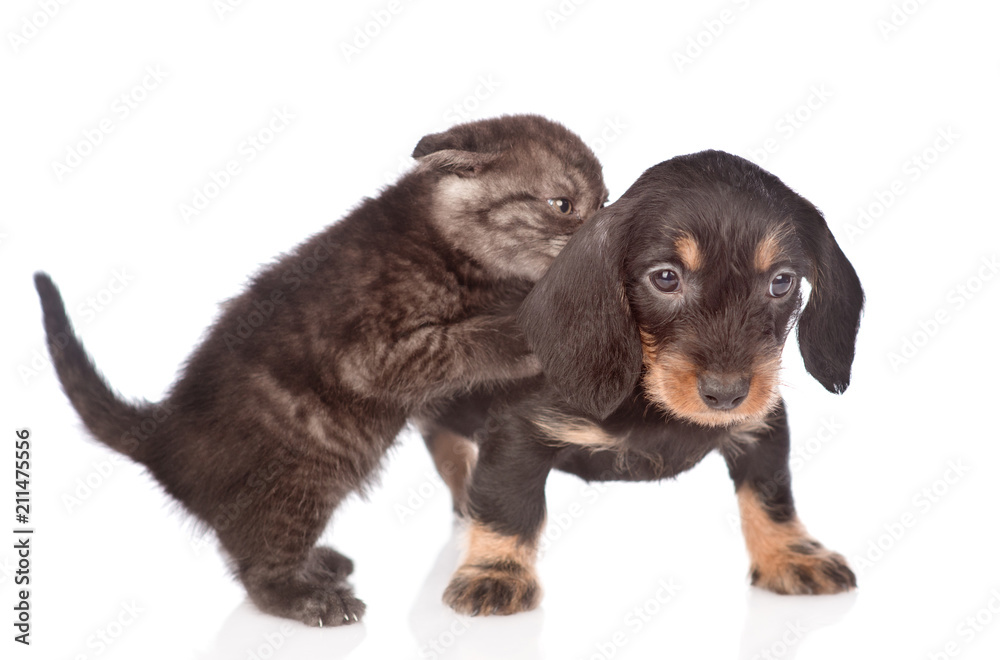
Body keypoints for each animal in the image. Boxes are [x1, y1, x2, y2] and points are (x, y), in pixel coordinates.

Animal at [35, 114, 604, 628]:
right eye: (562, 205)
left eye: (603, 204)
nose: (600, 243)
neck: (444, 246)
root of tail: (163, 437)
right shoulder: (373, 353)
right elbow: (474, 337)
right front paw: (541, 326)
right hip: (304, 478)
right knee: (259, 570)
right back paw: (309, 597)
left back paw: (320, 565)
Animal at [440, 150, 868, 612]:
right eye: (666, 278)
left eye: (781, 281)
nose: (727, 395)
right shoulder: (518, 430)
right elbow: (508, 503)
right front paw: (495, 569)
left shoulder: (762, 424)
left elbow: (770, 494)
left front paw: (789, 553)